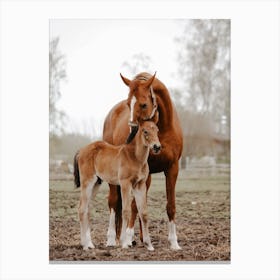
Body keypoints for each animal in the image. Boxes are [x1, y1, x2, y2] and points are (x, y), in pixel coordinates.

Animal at [73, 121, 161, 250]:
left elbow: (144, 212)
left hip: (96, 184)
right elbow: (125, 210)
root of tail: (81, 150)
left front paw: (149, 245)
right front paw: (125, 243)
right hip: (87, 182)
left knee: (87, 209)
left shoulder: (140, 185)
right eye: (145, 131)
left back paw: (89, 244)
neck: (134, 157)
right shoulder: (125, 184)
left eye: (157, 130)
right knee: (82, 208)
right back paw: (86, 245)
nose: (157, 147)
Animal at [103, 71, 184, 249]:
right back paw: (112, 239)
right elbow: (134, 206)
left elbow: (170, 205)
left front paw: (173, 242)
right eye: (129, 103)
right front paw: (127, 237)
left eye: (144, 104)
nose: (133, 131)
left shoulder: (172, 169)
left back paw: (139, 238)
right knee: (113, 202)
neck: (164, 129)